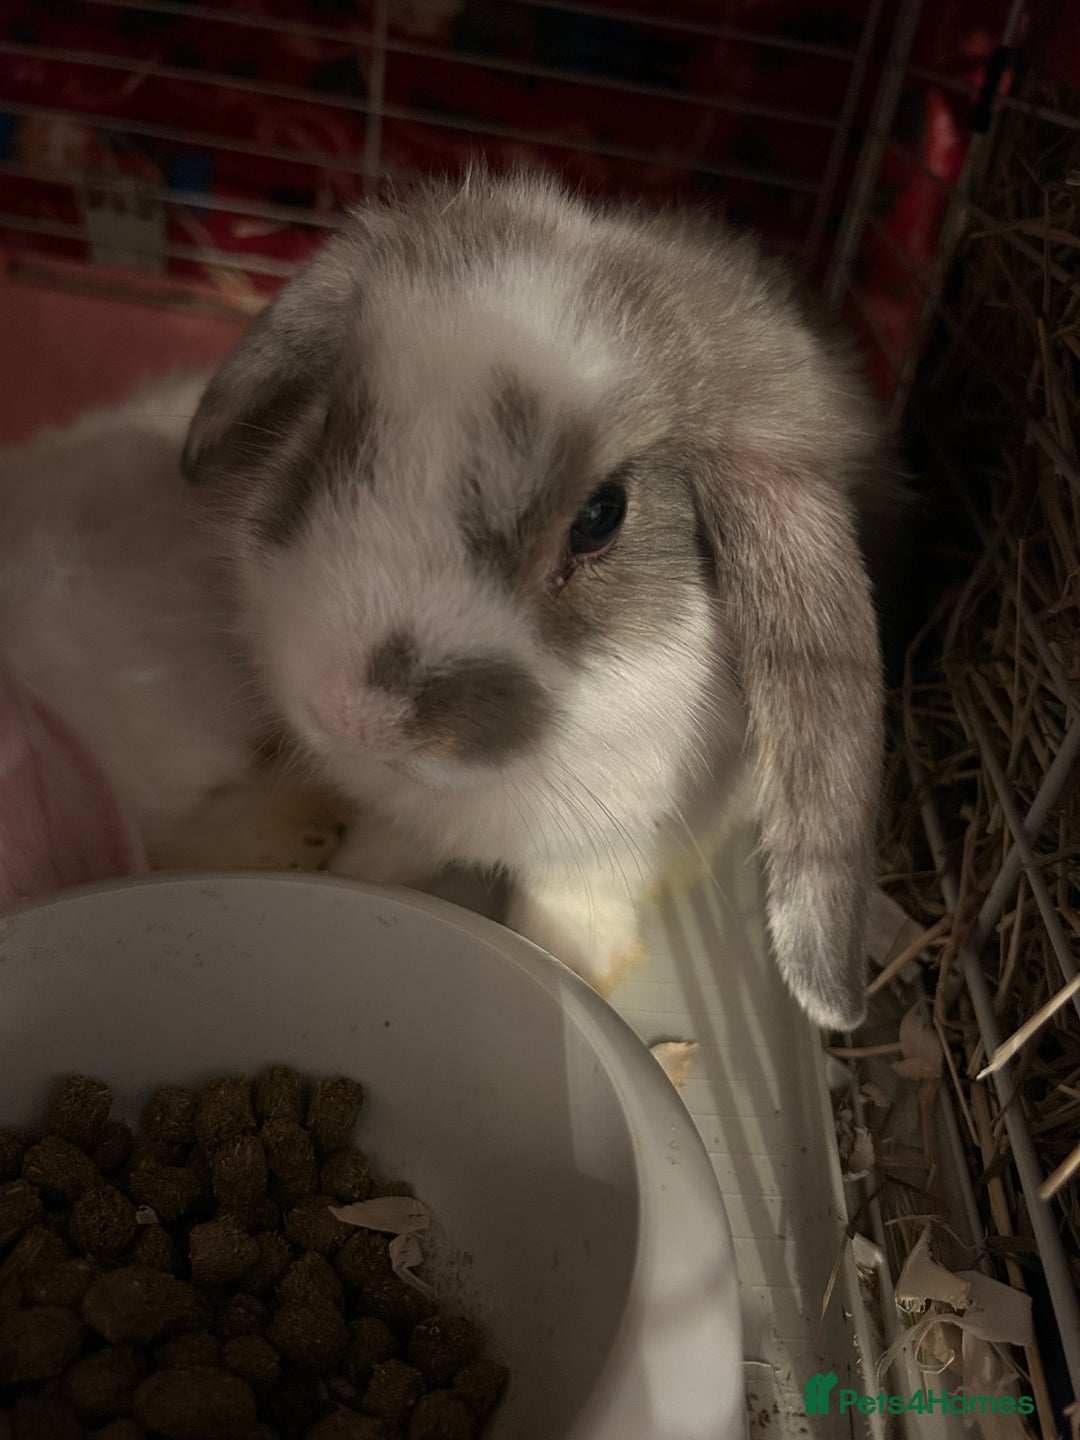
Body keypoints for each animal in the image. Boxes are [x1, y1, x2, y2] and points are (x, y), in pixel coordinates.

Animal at [174, 169, 907, 1029]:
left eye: (602, 516)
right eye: (326, 427)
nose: (357, 719)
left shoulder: (615, 839)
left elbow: (571, 897)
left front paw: (574, 963)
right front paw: (365, 873)